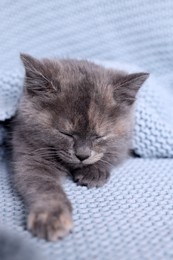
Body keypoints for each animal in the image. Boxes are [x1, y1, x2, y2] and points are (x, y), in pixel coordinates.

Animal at [11, 53, 149, 241]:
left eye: (99, 136)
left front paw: (93, 172)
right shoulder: (29, 153)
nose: (82, 155)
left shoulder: (123, 145)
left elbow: (111, 153)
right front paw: (51, 216)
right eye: (66, 133)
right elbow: (43, 185)